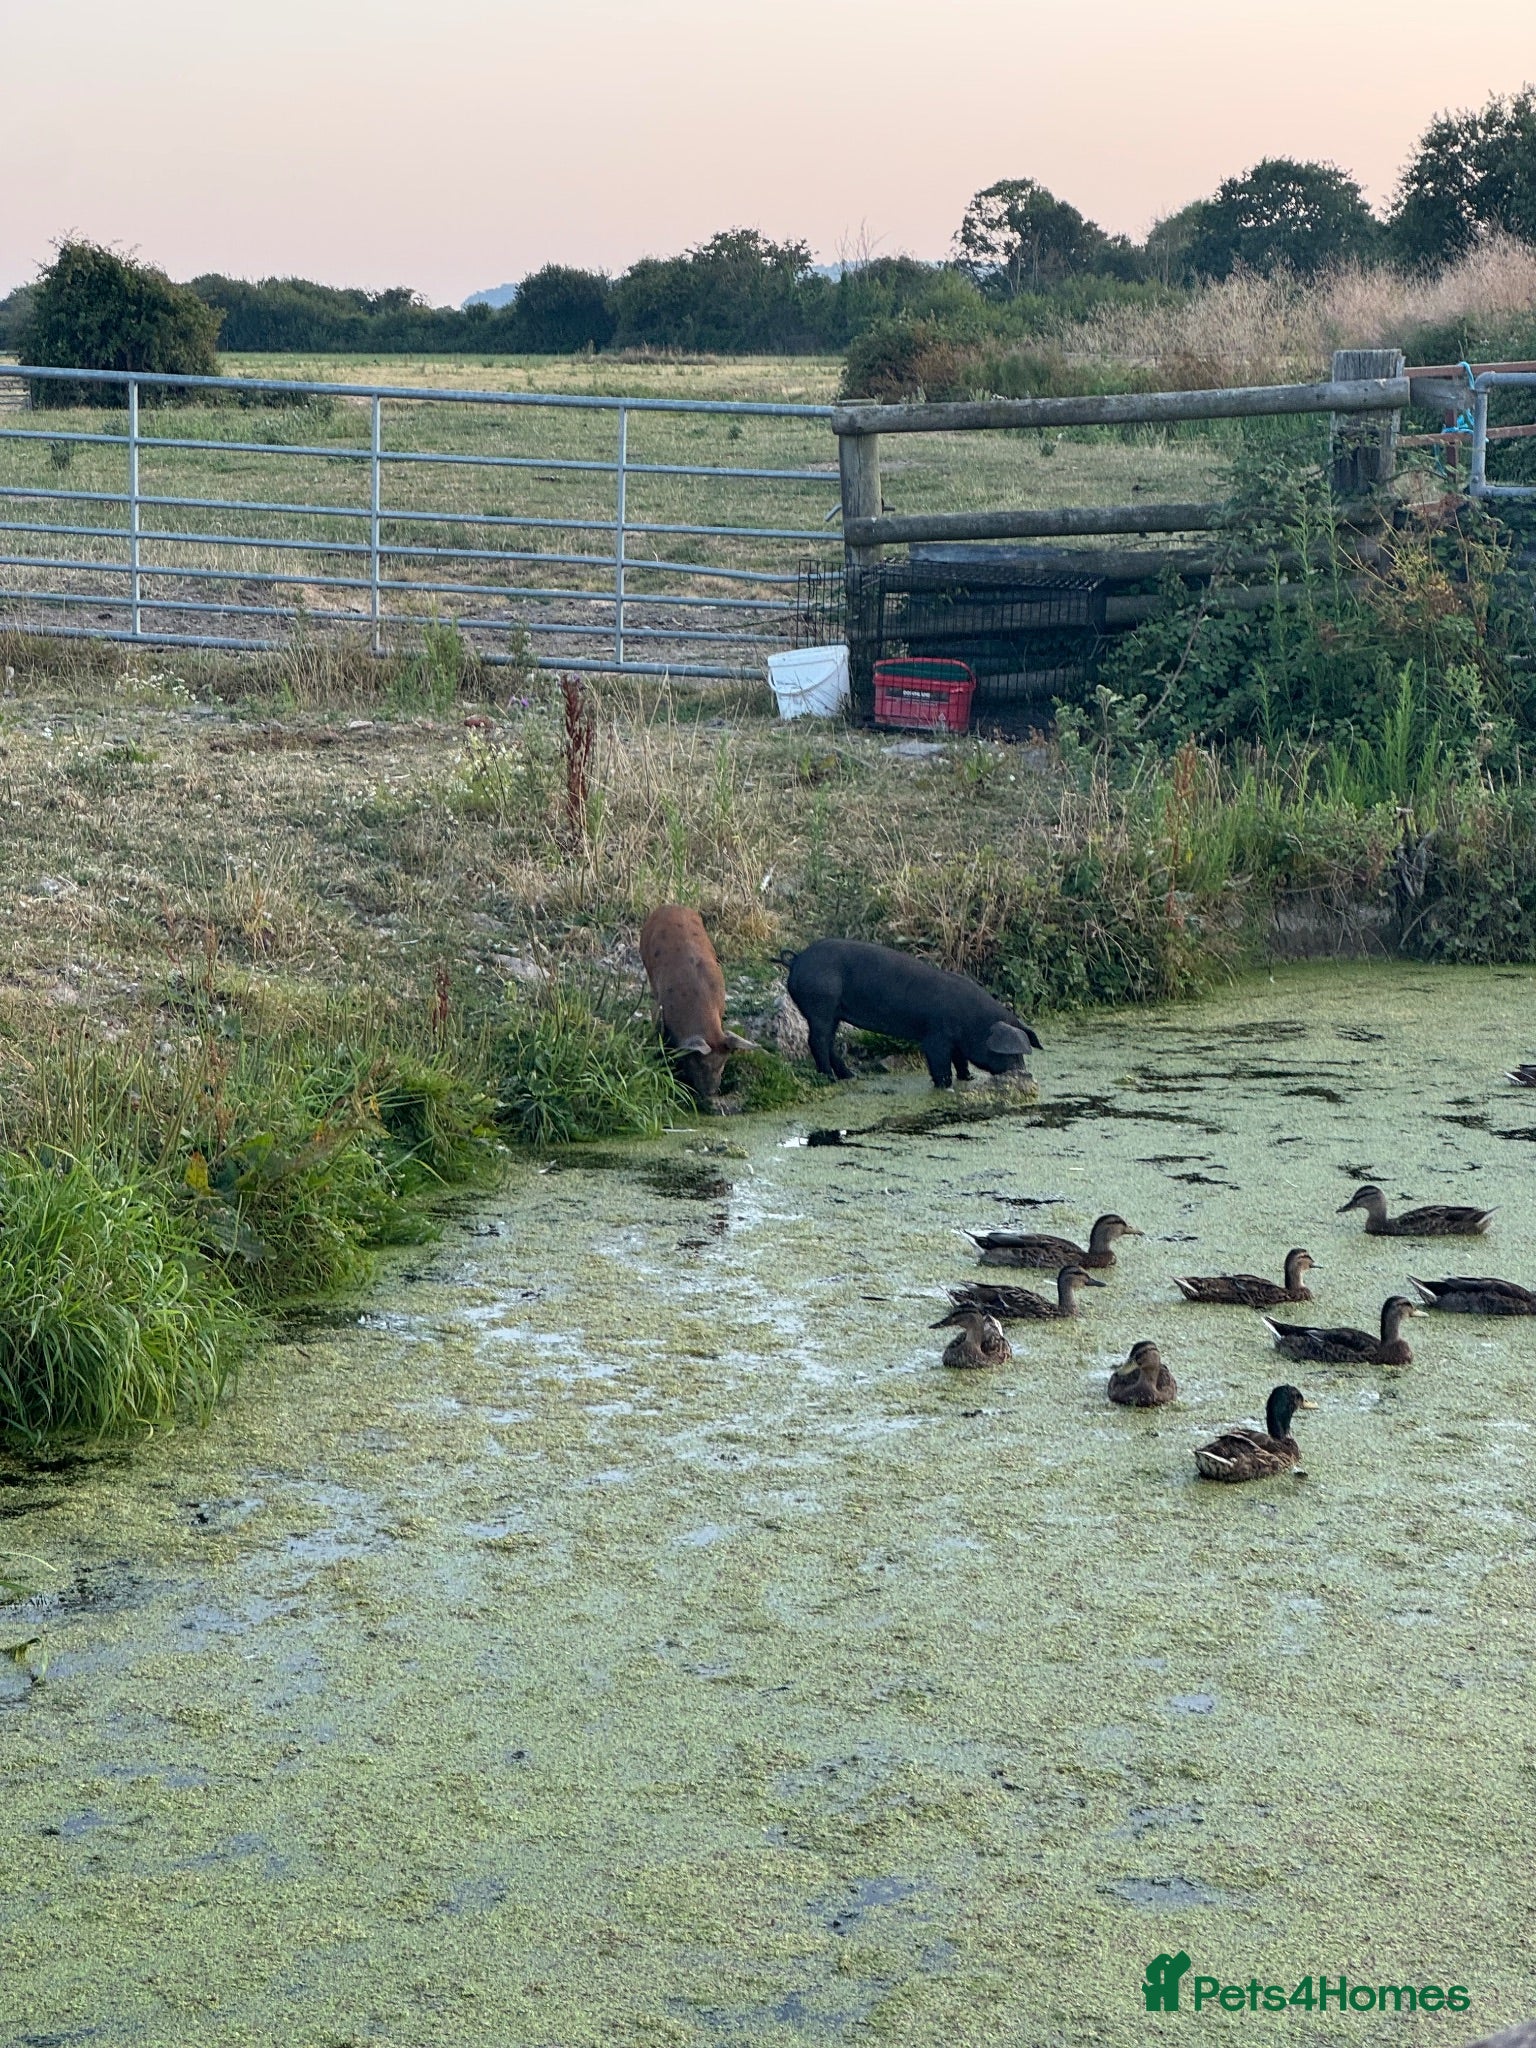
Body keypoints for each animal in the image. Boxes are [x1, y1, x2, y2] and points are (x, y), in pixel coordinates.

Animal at [784, 938, 1041, 1089]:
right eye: (1012, 1054)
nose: (1024, 1074)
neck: (973, 1021)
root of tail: (797, 959)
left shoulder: (956, 1042)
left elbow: (961, 1061)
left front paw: (968, 1079)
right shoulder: (936, 1036)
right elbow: (940, 1064)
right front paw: (945, 1087)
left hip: (832, 1011)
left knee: (828, 1042)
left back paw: (850, 1076)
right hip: (820, 1004)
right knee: (817, 1041)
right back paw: (829, 1079)